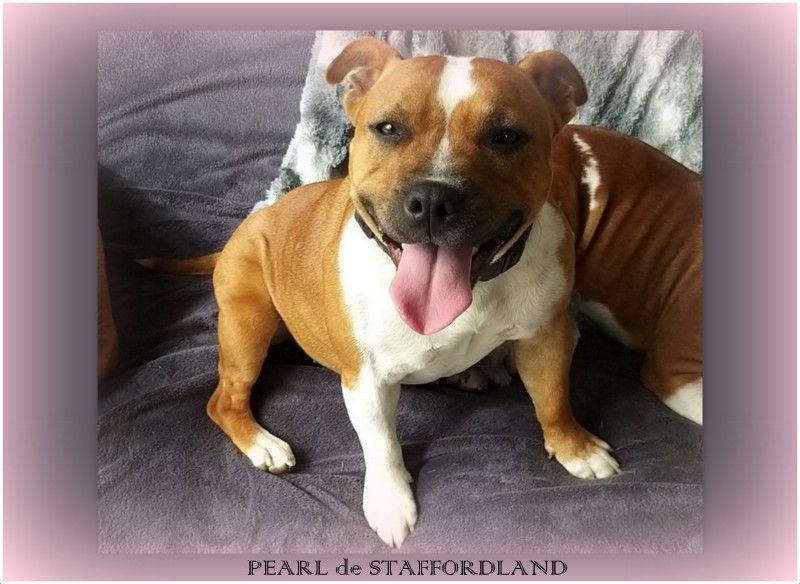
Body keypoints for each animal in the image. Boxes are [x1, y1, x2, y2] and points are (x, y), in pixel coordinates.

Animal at [145, 37, 702, 547]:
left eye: (506, 136)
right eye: (388, 128)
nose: (433, 197)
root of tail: (244, 228)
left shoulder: (544, 337)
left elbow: (553, 398)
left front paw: (573, 447)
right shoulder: (366, 380)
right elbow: (383, 446)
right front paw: (391, 503)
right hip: (249, 321)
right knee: (222, 399)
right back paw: (262, 444)